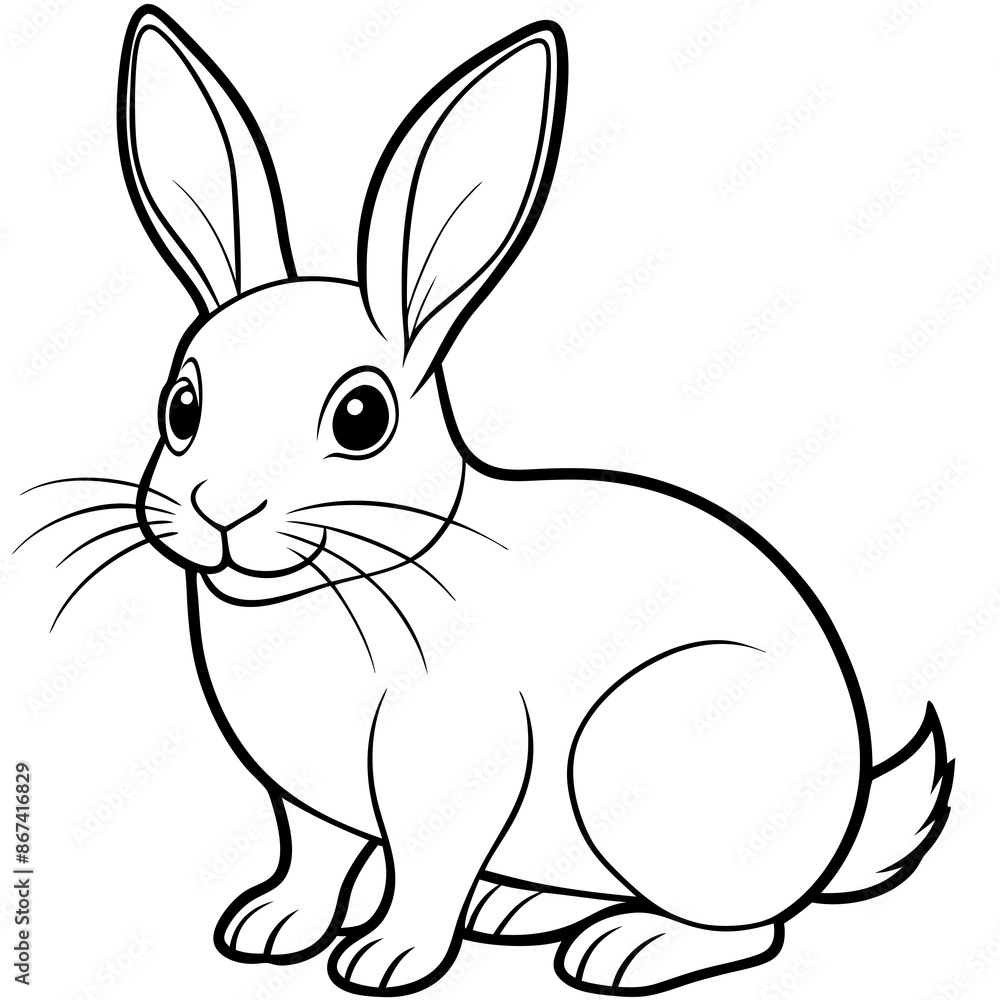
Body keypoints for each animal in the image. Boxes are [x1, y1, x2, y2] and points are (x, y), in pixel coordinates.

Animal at [25, 5, 953, 995]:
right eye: (182, 406)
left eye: (362, 417)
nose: (217, 508)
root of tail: (844, 825)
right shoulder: (300, 802)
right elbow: (311, 861)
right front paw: (267, 929)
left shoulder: (455, 766)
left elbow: (426, 870)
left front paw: (382, 960)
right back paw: (517, 911)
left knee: (753, 927)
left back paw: (622, 948)